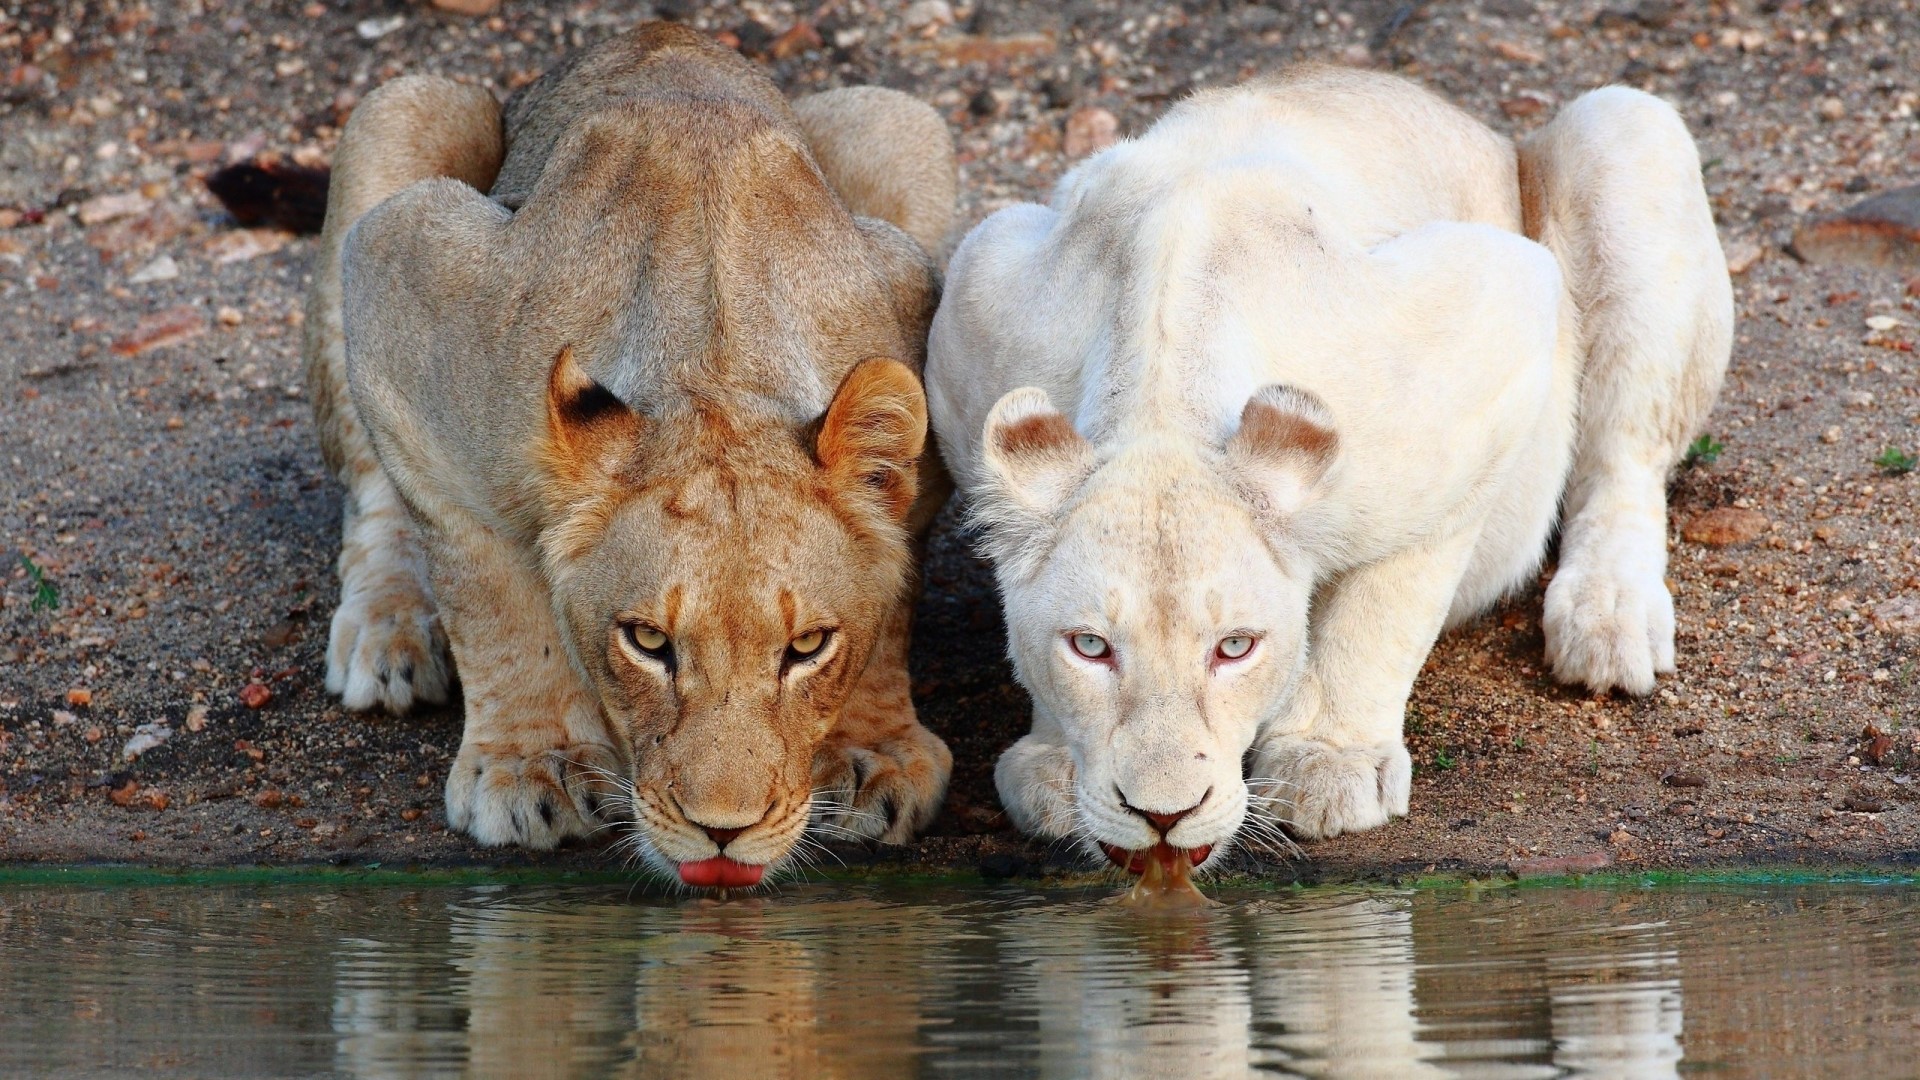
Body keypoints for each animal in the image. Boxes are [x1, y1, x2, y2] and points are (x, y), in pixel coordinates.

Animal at [303, 23, 957, 884]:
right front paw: (534, 763)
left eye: (808, 647)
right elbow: (487, 588)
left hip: (899, 121)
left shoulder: (914, 311)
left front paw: (870, 750)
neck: (716, 365)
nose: (723, 832)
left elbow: (893, 598)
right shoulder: (403, 271)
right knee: (373, 491)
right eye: (648, 643)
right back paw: (387, 635)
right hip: (403, 109)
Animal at [926, 68, 1732, 869]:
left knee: (1624, 456)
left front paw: (1328, 762)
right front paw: (1053, 765)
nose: (1163, 816)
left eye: (1235, 647)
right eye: (1090, 647)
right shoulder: (974, 298)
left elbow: (1385, 605)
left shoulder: (1494, 325)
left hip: (1624, 130)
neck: (1161, 393)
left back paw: (1609, 622)